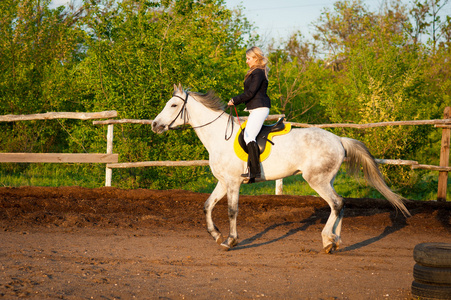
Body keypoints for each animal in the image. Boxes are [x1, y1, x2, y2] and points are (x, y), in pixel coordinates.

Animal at [152, 84, 410, 253]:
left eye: (173, 104)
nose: (155, 125)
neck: (218, 136)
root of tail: (338, 139)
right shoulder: (223, 182)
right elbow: (207, 205)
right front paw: (216, 235)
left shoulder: (234, 182)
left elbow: (232, 211)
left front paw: (230, 240)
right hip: (327, 179)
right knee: (340, 204)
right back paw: (333, 241)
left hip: (316, 180)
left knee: (336, 203)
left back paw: (328, 240)